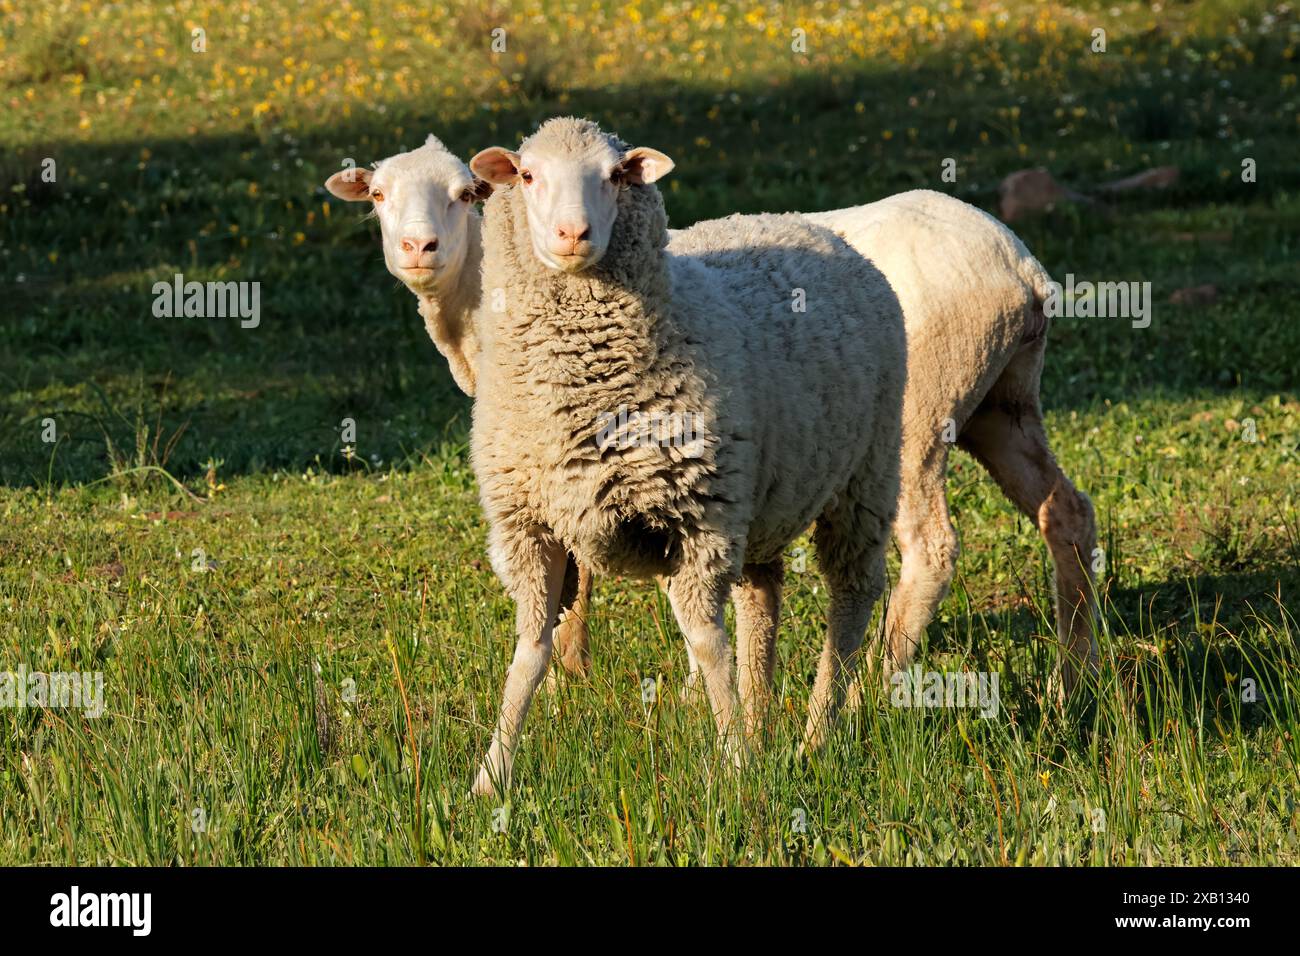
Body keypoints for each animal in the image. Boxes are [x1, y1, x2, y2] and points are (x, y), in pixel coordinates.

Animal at [467, 117, 904, 790]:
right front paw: (492, 774)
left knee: (851, 598)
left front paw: (736, 769)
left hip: (868, 473)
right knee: (761, 601)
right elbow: (531, 651)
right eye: (529, 175)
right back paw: (762, 721)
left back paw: (813, 735)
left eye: (615, 176)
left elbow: (704, 642)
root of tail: (811, 226)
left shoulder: (700, 517)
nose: (573, 234)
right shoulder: (528, 526)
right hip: (764, 504)